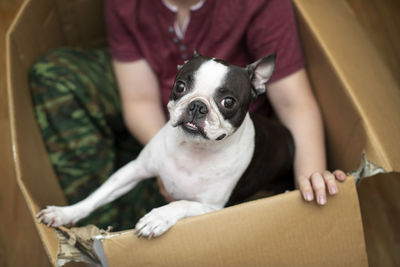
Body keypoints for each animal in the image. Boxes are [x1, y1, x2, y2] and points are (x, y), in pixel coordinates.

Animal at [37, 51, 294, 239]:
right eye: (180, 86)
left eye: (228, 102)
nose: (198, 105)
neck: (194, 149)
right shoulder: (133, 170)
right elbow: (97, 196)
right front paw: (64, 213)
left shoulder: (212, 208)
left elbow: (181, 204)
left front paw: (157, 218)